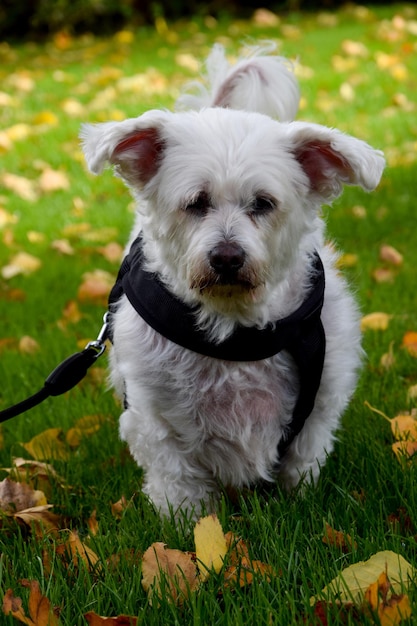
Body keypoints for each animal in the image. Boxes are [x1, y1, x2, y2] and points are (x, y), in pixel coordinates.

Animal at [80, 42, 384, 512]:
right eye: (195, 203)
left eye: (263, 203)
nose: (226, 257)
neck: (233, 327)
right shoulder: (154, 418)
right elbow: (179, 484)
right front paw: (188, 524)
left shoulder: (320, 402)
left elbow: (303, 459)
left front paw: (300, 504)